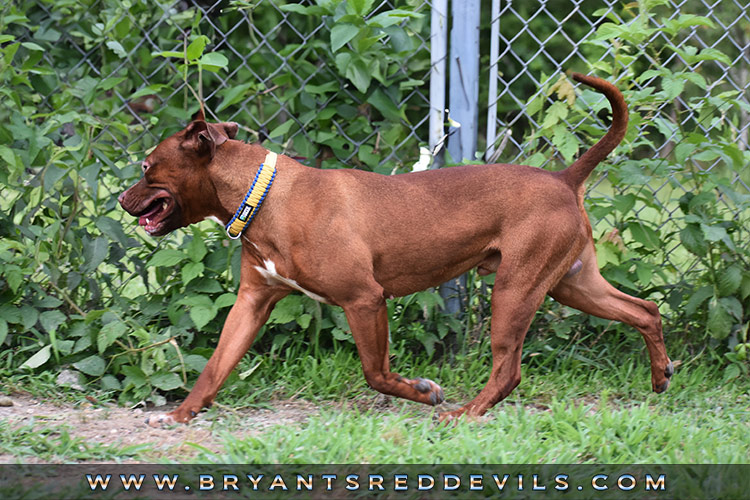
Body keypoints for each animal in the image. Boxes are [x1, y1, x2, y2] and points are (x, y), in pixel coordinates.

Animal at [119, 74, 676, 426]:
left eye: (146, 167)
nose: (121, 199)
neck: (264, 195)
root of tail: (565, 178)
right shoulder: (252, 303)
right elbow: (215, 366)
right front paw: (182, 413)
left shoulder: (365, 299)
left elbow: (377, 373)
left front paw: (423, 392)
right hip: (572, 284)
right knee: (645, 310)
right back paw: (660, 375)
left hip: (515, 291)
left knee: (509, 370)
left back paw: (464, 414)